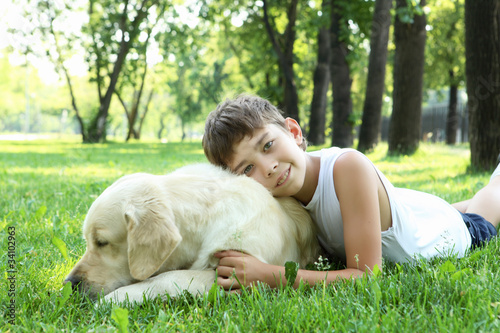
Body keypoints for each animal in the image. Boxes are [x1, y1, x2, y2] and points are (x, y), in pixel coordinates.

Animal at [65, 163, 320, 304]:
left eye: (102, 242)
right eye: (89, 242)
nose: (70, 283)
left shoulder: (235, 270)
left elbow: (167, 278)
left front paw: (117, 298)